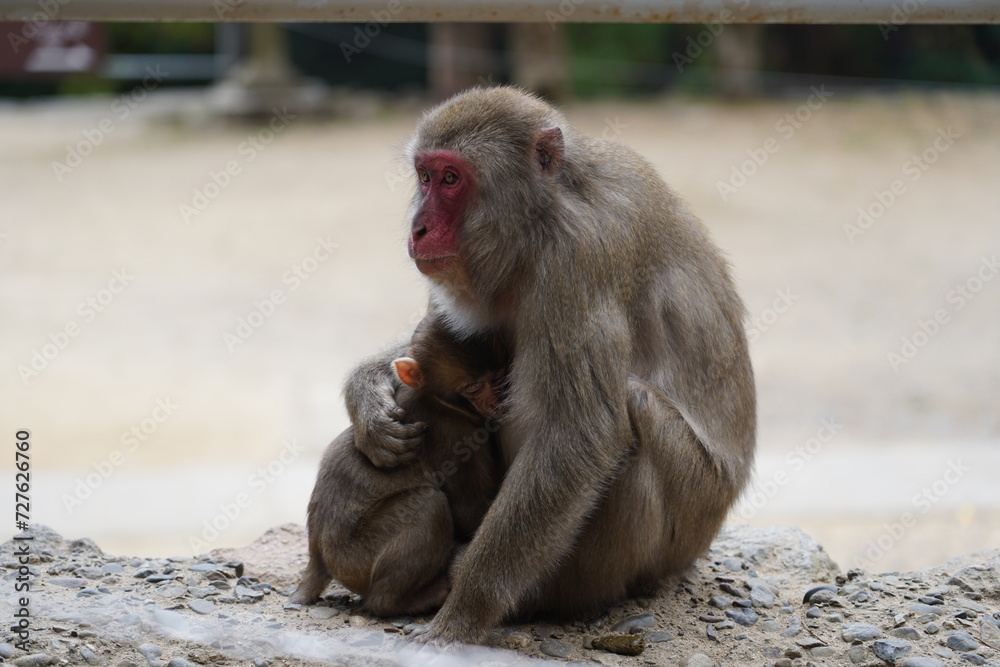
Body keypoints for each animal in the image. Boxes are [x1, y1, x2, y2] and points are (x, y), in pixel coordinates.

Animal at [291, 316, 506, 615]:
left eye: (497, 377)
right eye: (473, 388)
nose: (497, 400)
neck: (437, 400)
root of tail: (317, 556)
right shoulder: (456, 436)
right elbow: (469, 511)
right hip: (355, 558)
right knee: (429, 505)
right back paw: (401, 601)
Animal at [343, 86, 757, 643]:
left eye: (452, 179)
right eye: (425, 177)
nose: (419, 227)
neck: (540, 220)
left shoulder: (576, 259)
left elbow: (580, 434)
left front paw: (464, 614)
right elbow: (435, 337)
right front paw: (367, 396)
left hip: (687, 519)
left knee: (632, 405)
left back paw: (550, 599)